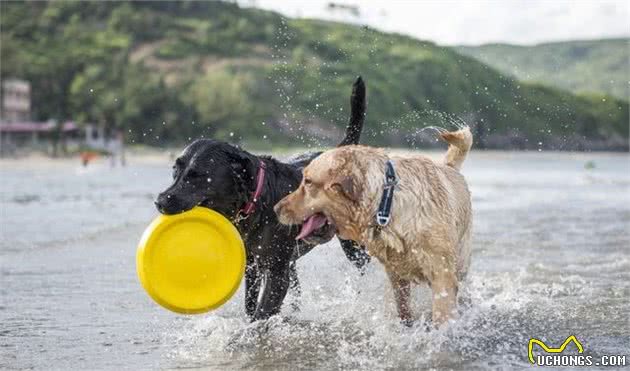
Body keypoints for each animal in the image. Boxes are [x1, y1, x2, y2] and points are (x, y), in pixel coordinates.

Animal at [157, 77, 370, 322]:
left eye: (198, 176)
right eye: (175, 171)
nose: (160, 201)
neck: (257, 203)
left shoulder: (277, 272)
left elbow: (262, 312)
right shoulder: (252, 265)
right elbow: (251, 304)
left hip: (353, 247)